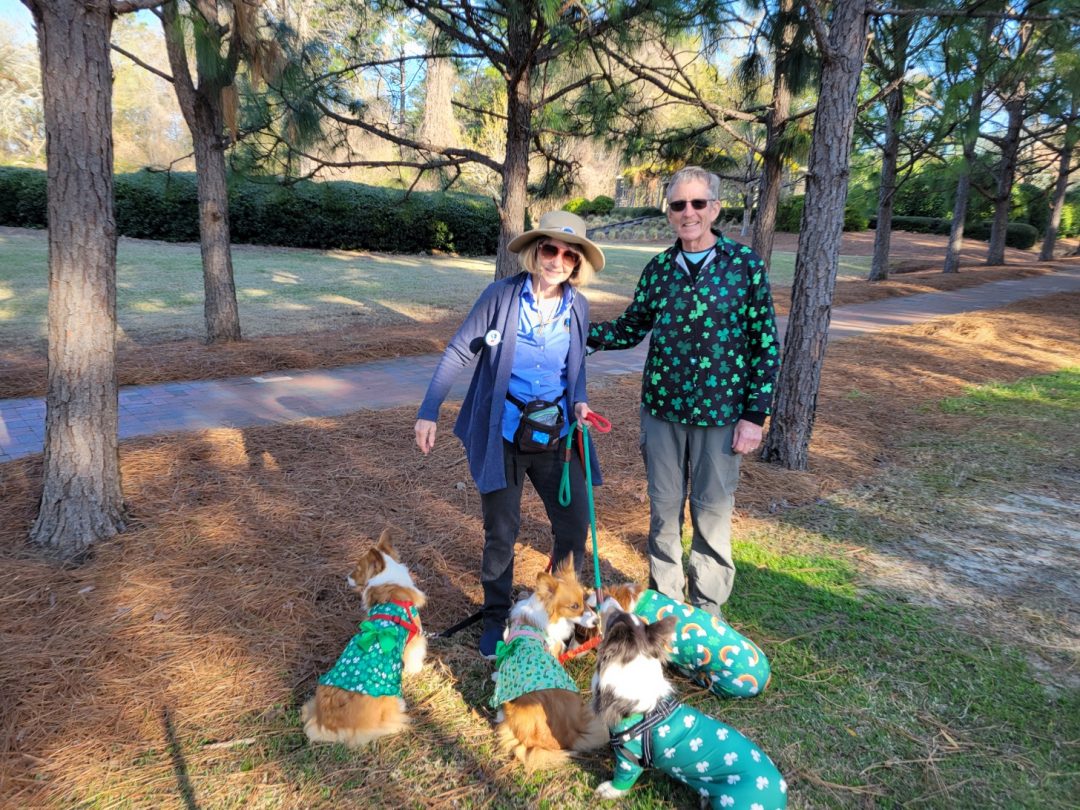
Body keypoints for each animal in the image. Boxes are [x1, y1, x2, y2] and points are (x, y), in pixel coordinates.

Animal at [301, 529, 427, 747]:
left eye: (357, 568)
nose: (346, 578)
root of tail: (330, 726)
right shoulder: (415, 640)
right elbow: (415, 660)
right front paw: (415, 671)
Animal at [592, 606, 787, 808]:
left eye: (613, 618)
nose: (610, 605)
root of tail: (782, 795)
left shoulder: (629, 759)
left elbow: (622, 779)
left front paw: (607, 791)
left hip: (730, 801)